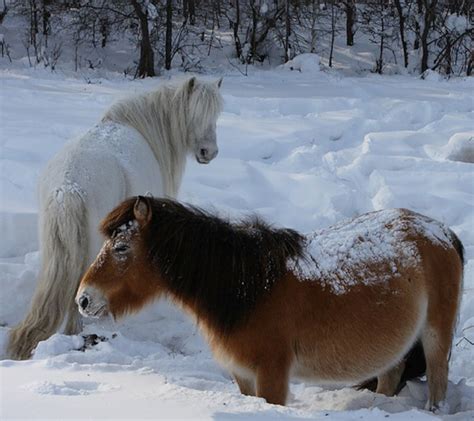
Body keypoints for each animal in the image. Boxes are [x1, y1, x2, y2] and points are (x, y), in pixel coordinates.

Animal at [76, 197, 464, 410]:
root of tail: (443, 232)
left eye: (121, 247)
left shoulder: (272, 374)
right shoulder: (243, 374)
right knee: (391, 374)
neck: (248, 288)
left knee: (437, 381)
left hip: (436, 334)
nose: (83, 299)